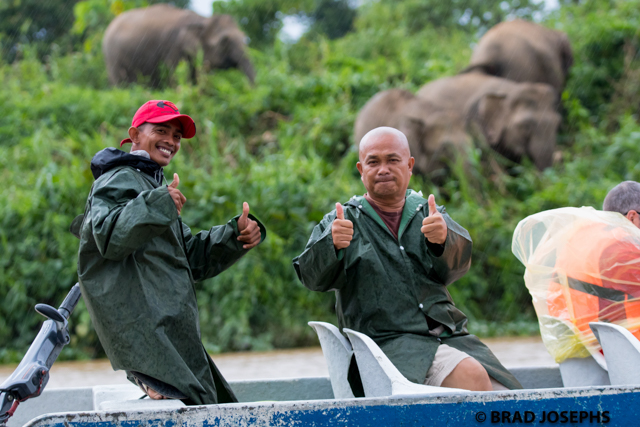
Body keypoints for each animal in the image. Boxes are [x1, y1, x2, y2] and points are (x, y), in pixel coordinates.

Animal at [102, 4, 255, 87]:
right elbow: (175, 77)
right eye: (224, 41)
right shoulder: (173, 48)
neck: (202, 20)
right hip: (113, 60)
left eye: (244, 37)